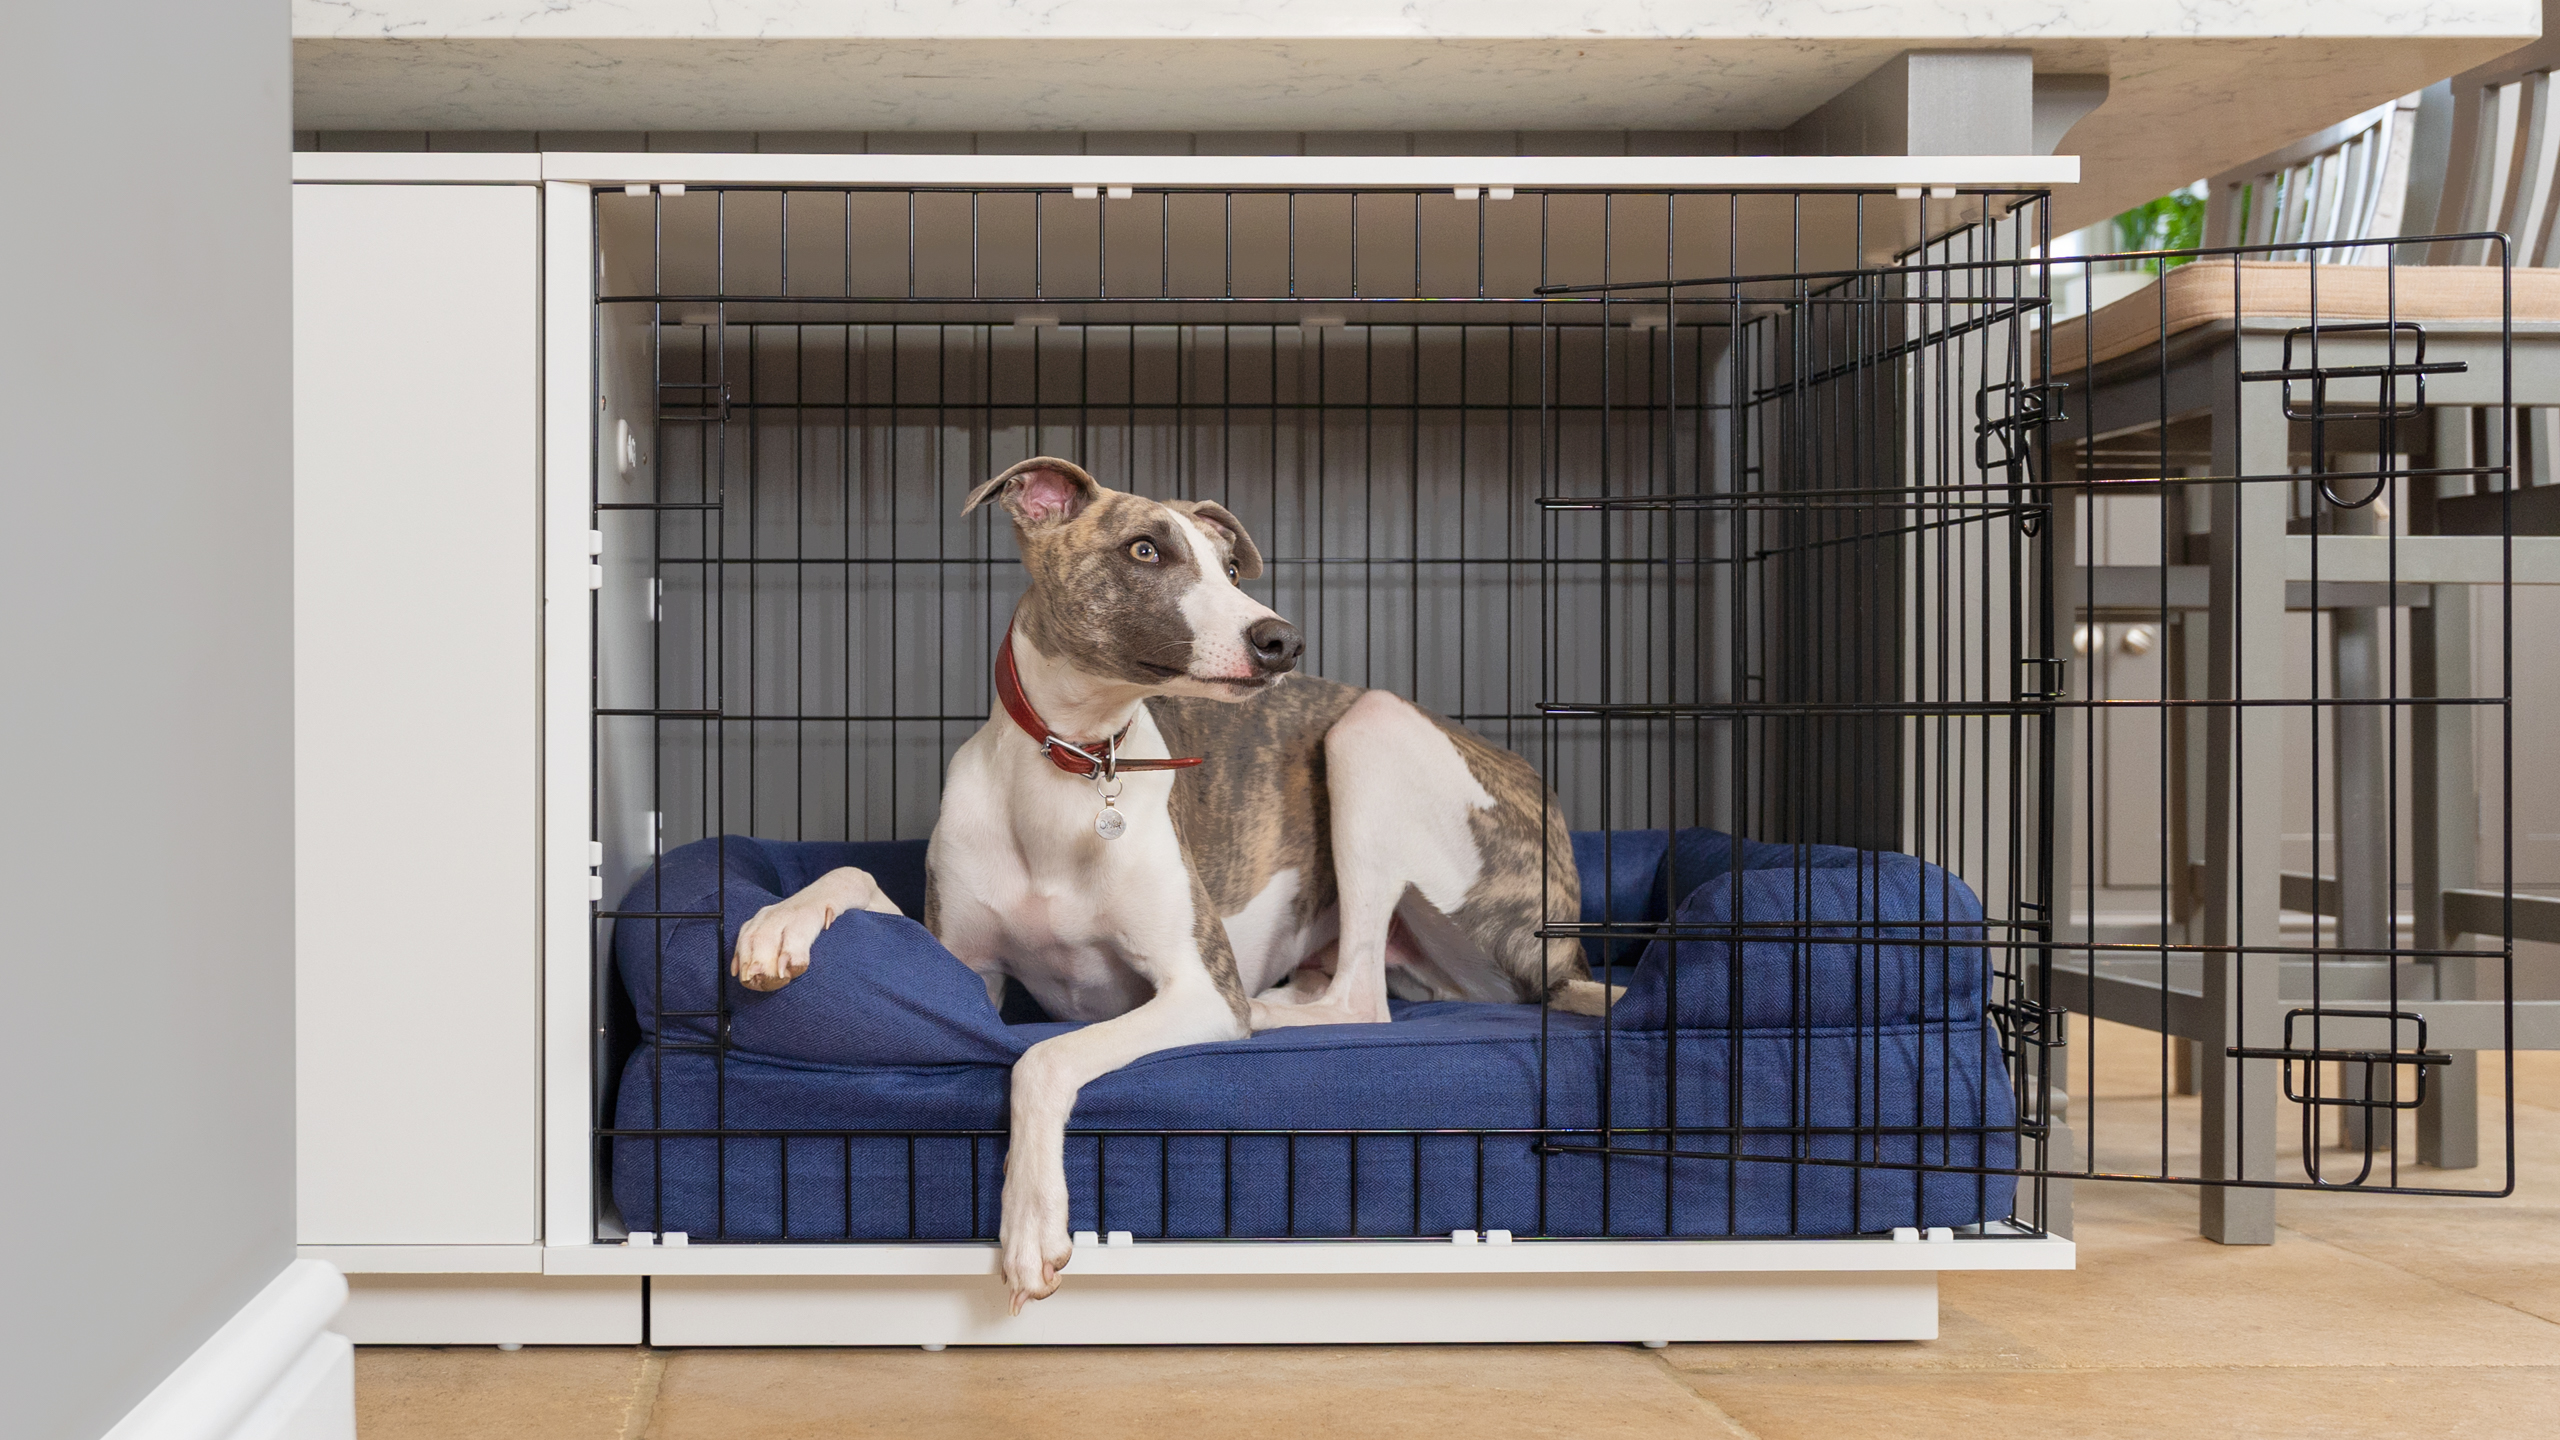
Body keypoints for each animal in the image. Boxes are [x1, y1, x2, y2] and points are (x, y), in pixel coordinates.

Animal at [727, 453, 1597, 1306]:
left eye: (1228, 565)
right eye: (1144, 550)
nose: (1282, 641)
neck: (1074, 769)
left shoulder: (1194, 986)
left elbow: (1042, 1058)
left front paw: (1032, 1219)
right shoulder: (966, 966)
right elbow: (858, 877)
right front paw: (777, 924)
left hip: (1371, 728)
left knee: (1361, 1002)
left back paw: (1272, 1012)